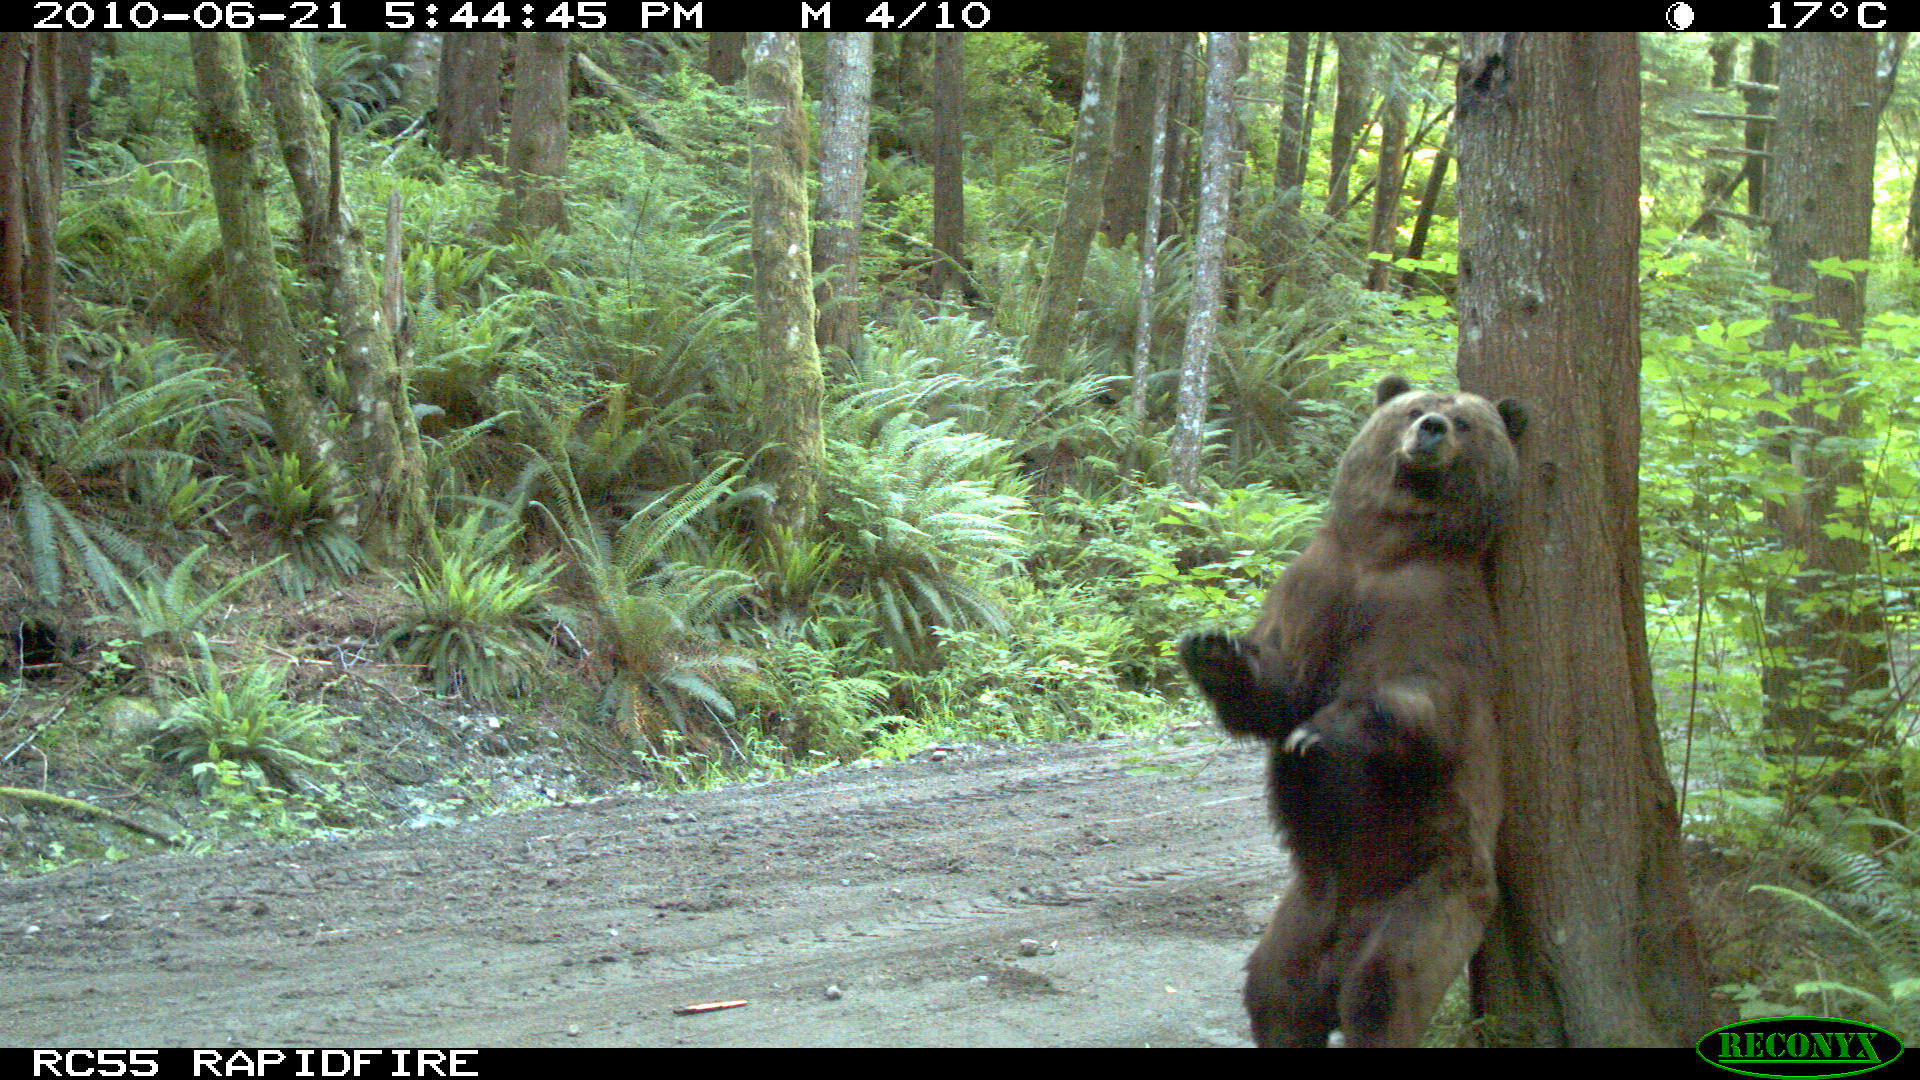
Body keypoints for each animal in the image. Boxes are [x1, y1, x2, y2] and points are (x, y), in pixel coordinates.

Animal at [1179, 373, 1526, 1048]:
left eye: (1464, 421)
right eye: (1415, 408)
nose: (1430, 431)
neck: (1386, 548)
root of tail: (1341, 942)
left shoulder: (1440, 610)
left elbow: (1425, 709)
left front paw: (1320, 733)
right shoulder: (1319, 584)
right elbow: (1279, 685)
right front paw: (1215, 650)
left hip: (1435, 890)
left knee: (1383, 992)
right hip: (1302, 913)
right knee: (1273, 997)